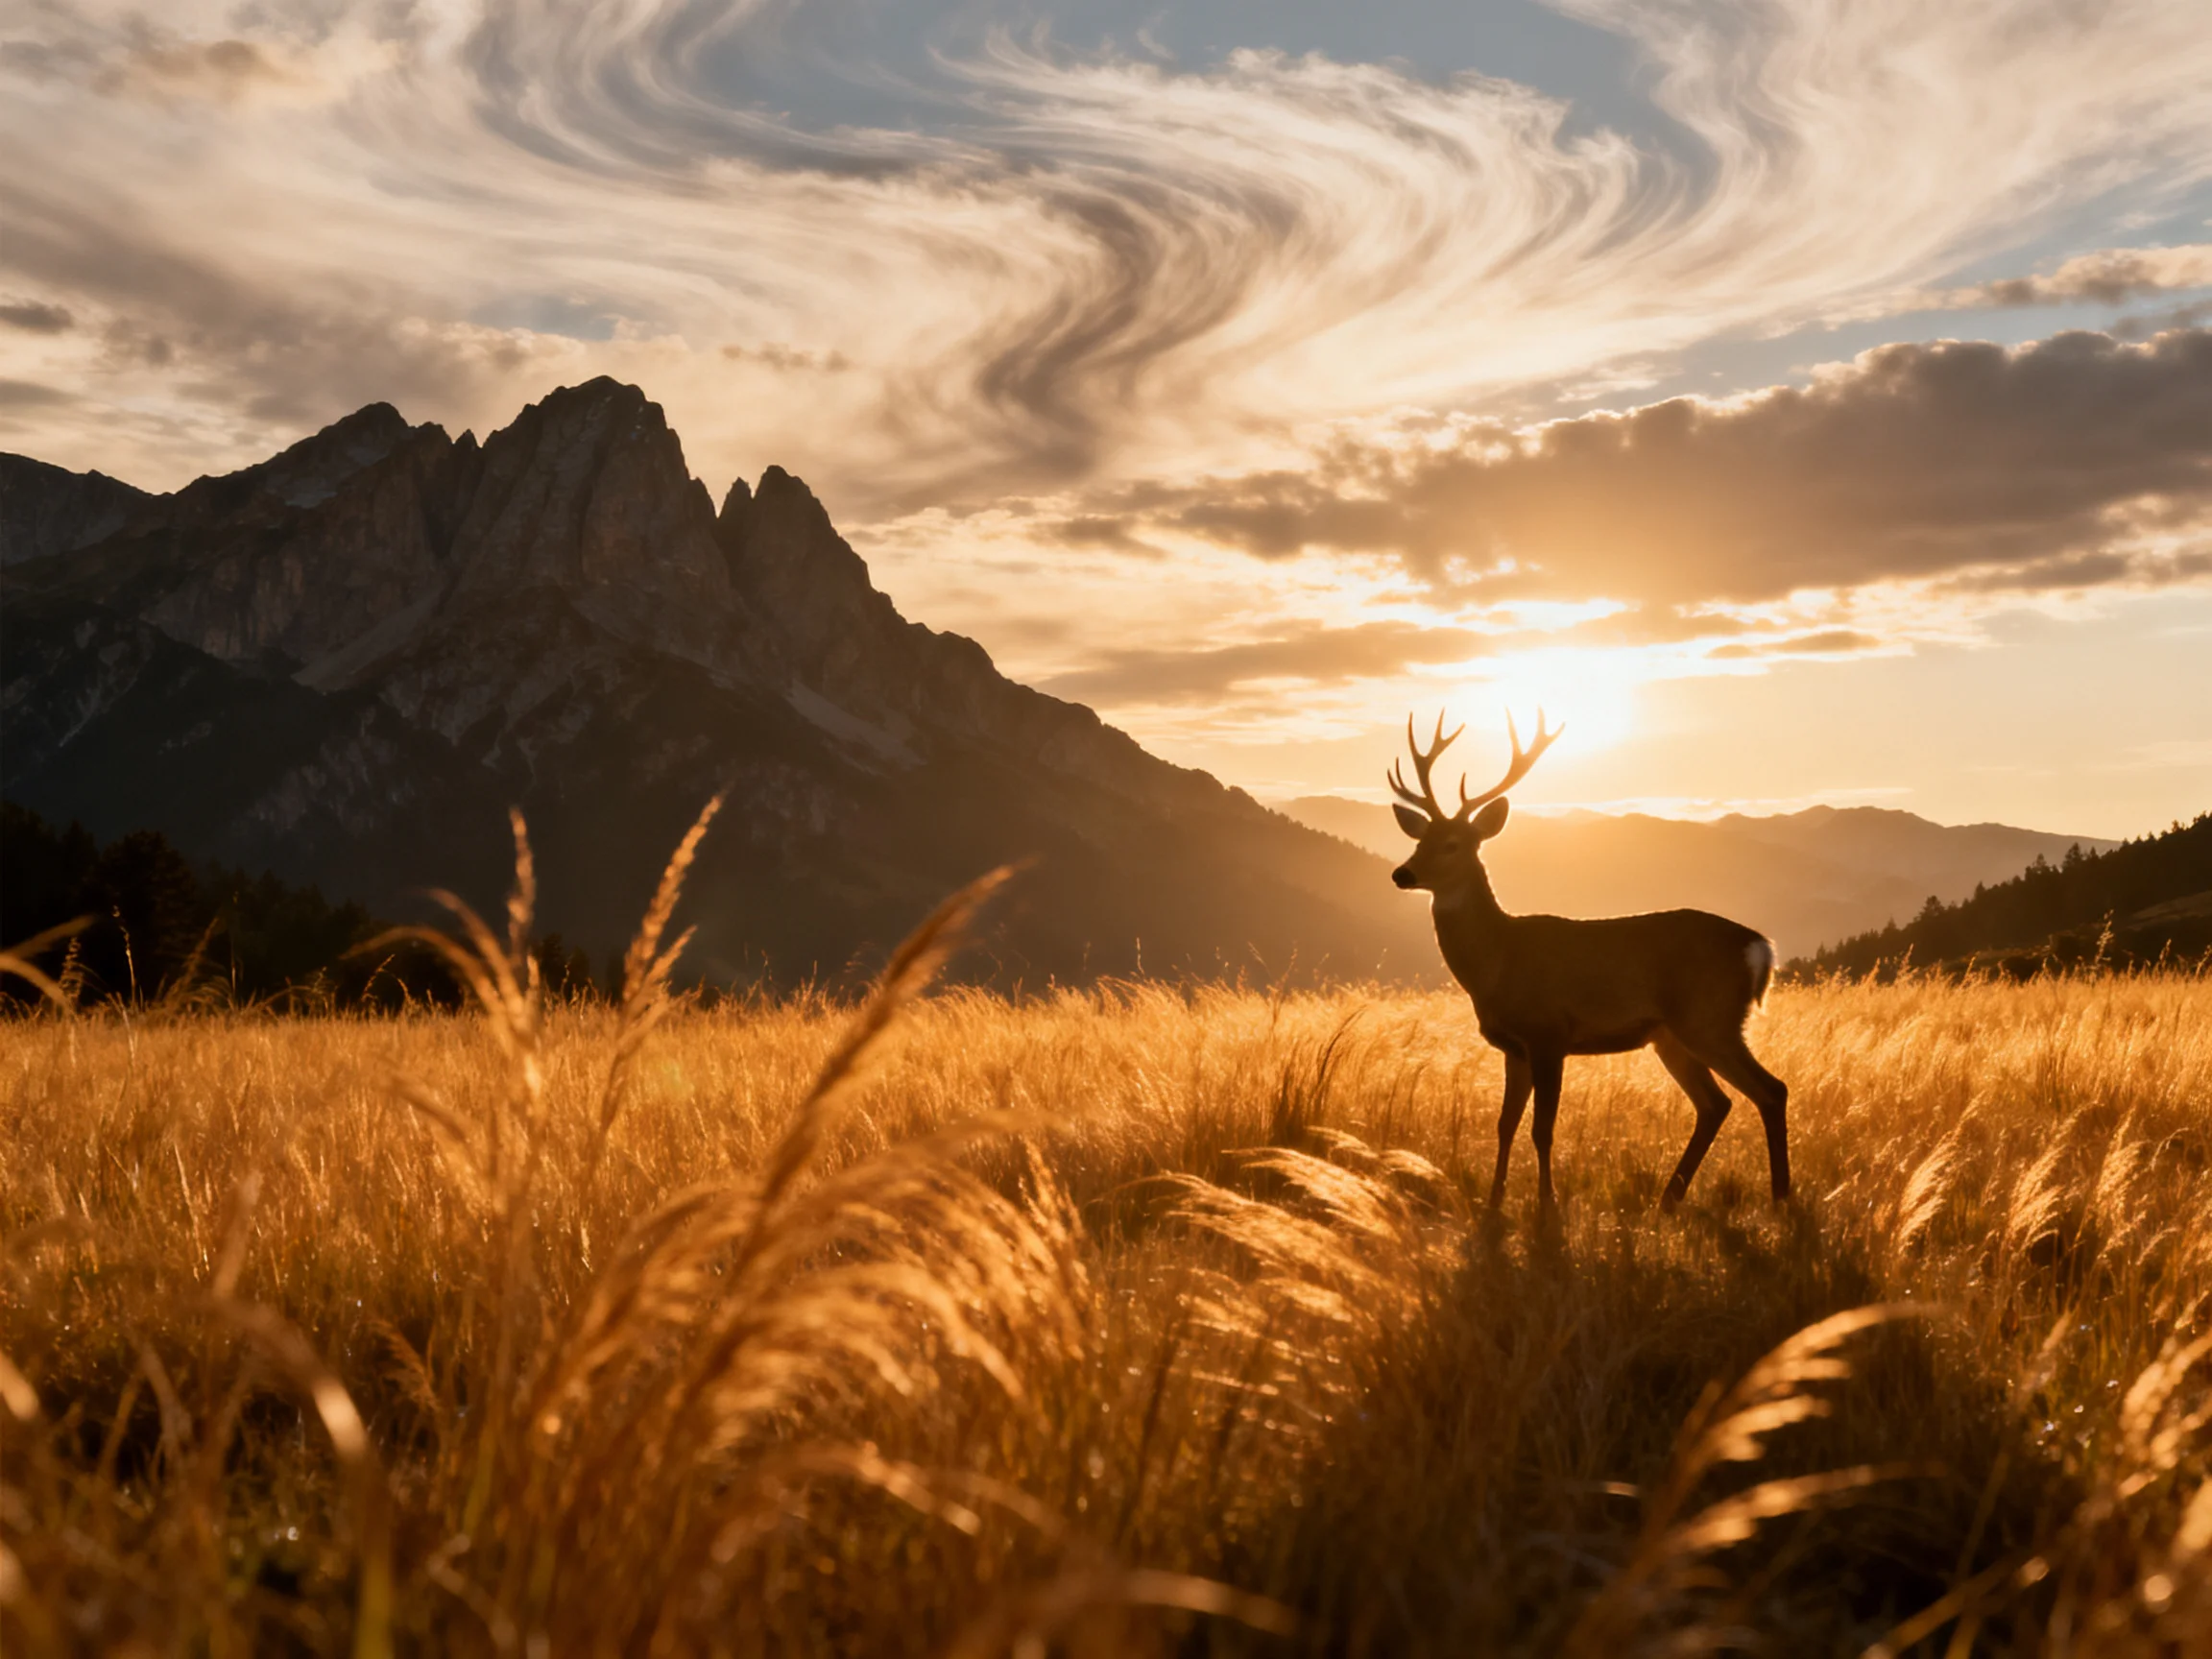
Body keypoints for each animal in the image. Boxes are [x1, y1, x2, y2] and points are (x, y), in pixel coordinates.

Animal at [1388, 712, 1790, 1212]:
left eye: (1453, 844)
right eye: (1419, 839)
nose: (1402, 873)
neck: (1498, 963)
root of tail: (1759, 946)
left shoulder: (1549, 1033)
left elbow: (1542, 1129)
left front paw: (1548, 1204)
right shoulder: (1513, 1046)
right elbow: (1505, 1125)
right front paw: (1494, 1200)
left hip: (1709, 1018)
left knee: (1771, 1090)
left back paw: (1780, 1199)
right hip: (1672, 1035)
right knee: (1716, 1104)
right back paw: (1669, 1198)